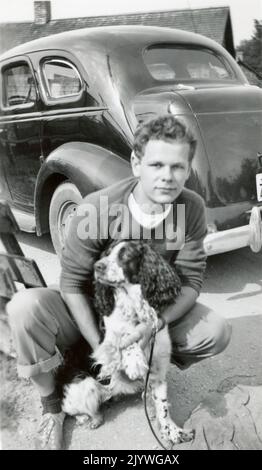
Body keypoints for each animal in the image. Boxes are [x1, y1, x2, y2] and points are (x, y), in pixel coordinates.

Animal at [60, 241, 193, 446]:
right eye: (105, 254)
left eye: (125, 256)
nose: (97, 266)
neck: (134, 307)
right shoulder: (105, 345)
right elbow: (124, 336)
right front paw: (134, 360)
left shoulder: (158, 371)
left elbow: (163, 406)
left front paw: (173, 431)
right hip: (85, 385)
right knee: (76, 409)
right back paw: (88, 418)